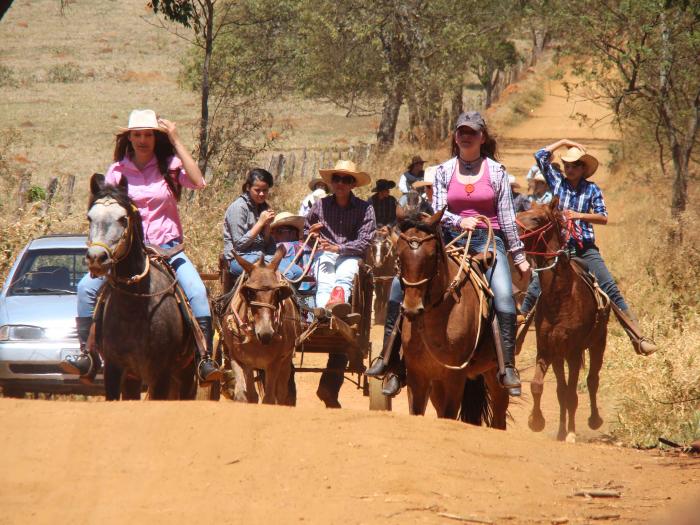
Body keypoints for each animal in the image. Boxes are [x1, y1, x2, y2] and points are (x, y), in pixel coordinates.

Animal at [219, 247, 300, 406]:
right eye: (250, 292)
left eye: (277, 293)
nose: (266, 333)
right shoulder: (239, 359)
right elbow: (245, 396)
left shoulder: (274, 363)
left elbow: (269, 399)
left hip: (286, 361)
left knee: (282, 393)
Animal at [394, 208, 508, 426]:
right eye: (398, 255)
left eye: (431, 256)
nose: (412, 309)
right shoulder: (417, 376)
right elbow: (417, 411)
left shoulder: (455, 378)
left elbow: (450, 413)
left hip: (493, 373)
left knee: (499, 414)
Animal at [516, 199, 608, 440]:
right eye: (519, 212)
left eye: (538, 218)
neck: (561, 295)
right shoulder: (546, 349)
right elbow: (539, 386)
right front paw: (537, 422)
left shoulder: (574, 352)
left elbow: (572, 395)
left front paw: (571, 434)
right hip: (560, 356)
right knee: (562, 389)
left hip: (598, 343)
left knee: (592, 380)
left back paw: (594, 420)